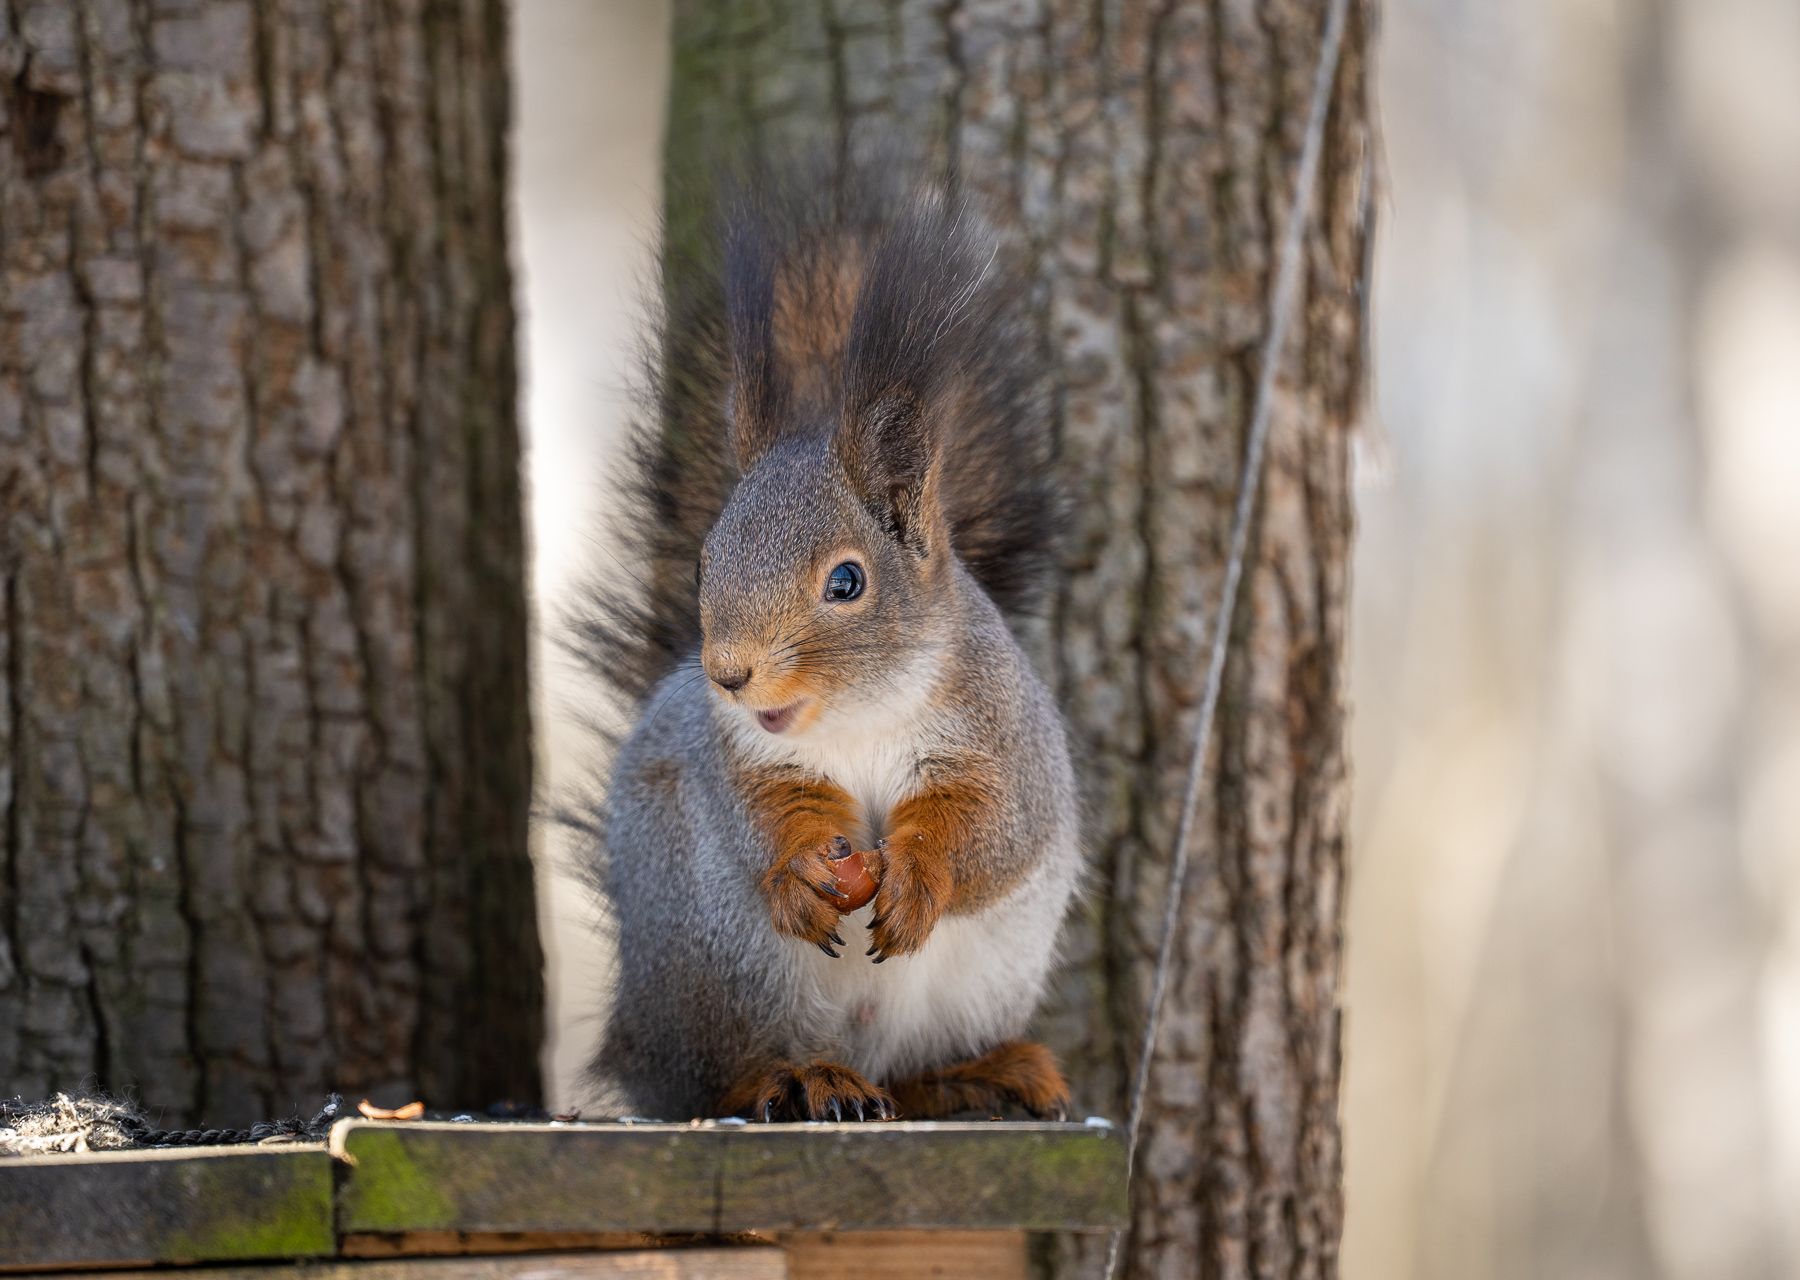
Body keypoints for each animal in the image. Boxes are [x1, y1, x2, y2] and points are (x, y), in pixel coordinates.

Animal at [572, 157, 1080, 1123]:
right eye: (705, 562)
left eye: (846, 582)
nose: (729, 674)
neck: (859, 715)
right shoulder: (744, 757)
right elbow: (770, 816)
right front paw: (802, 872)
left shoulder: (1003, 741)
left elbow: (990, 830)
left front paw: (920, 872)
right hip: (717, 959)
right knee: (715, 1075)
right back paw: (795, 1077)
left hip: (983, 977)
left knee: (908, 1075)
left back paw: (979, 1073)